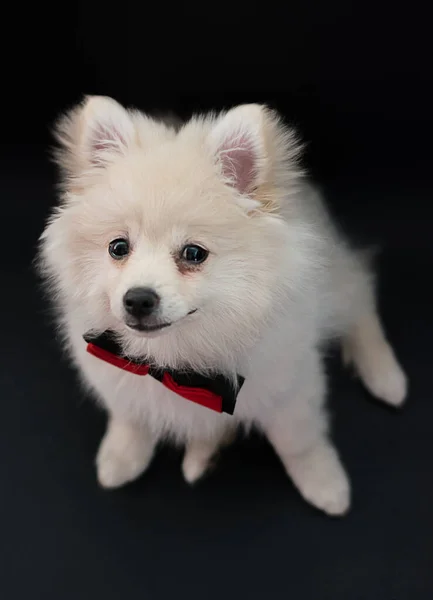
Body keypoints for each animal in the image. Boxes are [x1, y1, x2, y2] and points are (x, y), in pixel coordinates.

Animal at [38, 95, 406, 516]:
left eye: (193, 253)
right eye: (118, 247)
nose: (138, 298)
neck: (177, 364)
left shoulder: (291, 386)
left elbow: (300, 442)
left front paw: (324, 482)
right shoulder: (113, 372)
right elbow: (130, 418)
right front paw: (121, 457)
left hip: (336, 284)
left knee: (361, 299)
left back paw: (386, 377)